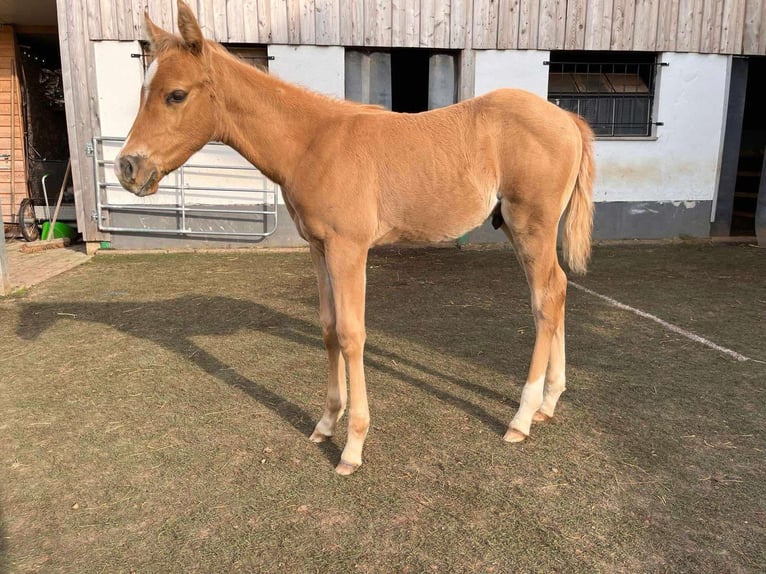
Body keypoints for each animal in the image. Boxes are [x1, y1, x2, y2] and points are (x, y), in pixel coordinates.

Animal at [117, 1, 600, 476]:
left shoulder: (348, 249)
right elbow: (329, 329)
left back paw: (522, 417)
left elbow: (352, 334)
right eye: (142, 90)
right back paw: (549, 402)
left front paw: (353, 446)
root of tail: (566, 117)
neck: (311, 143)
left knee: (545, 300)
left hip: (531, 226)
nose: (128, 167)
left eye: (176, 94)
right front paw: (326, 423)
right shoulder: (319, 249)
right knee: (556, 291)